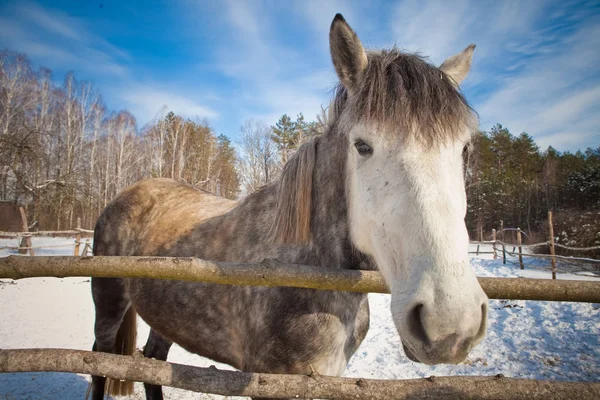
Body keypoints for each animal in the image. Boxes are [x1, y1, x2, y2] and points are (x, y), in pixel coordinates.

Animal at [91, 13, 490, 400]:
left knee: (153, 363)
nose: (450, 324)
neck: (306, 269)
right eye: (362, 145)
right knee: (99, 360)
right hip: (108, 302)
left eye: (464, 149)